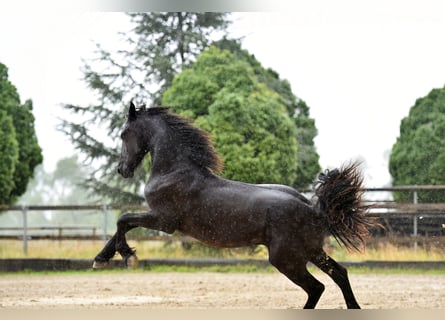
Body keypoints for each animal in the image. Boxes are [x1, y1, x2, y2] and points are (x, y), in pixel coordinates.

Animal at [93, 102, 374, 308]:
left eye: (123, 134)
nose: (122, 169)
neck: (174, 171)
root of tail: (314, 209)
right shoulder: (159, 219)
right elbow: (121, 225)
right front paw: (101, 259)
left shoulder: (164, 220)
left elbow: (123, 220)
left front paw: (128, 257)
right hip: (311, 252)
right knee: (339, 274)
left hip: (287, 258)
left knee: (317, 287)